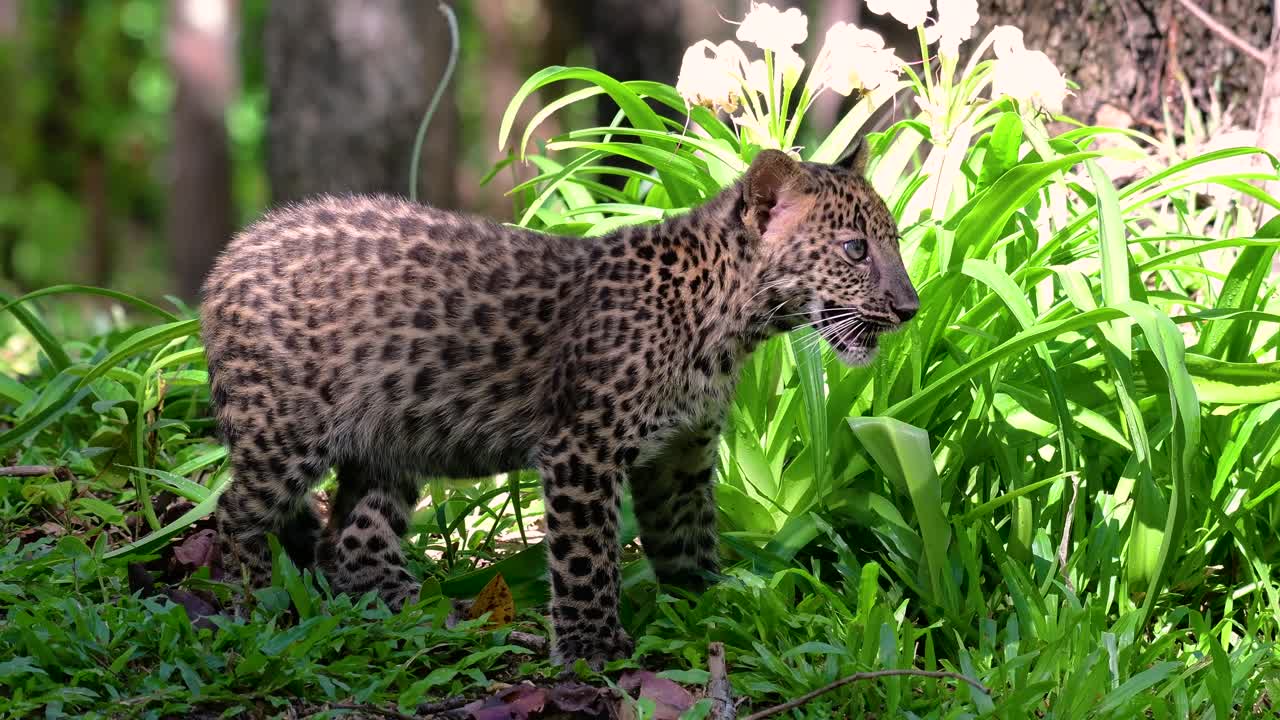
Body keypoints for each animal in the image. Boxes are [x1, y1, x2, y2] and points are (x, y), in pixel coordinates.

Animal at [199, 142, 919, 667]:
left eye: (896, 242)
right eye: (855, 249)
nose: (911, 308)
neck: (729, 325)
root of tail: (230, 255)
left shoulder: (681, 456)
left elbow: (687, 541)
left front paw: (710, 611)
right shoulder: (583, 448)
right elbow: (585, 556)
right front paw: (593, 647)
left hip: (389, 438)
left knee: (352, 543)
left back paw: (428, 611)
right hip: (284, 429)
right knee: (234, 514)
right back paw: (252, 605)